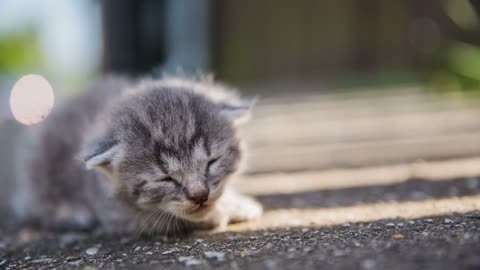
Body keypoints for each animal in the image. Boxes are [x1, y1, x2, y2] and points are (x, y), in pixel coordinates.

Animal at [11, 75, 264, 234]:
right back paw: (71, 212)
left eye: (212, 162)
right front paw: (222, 211)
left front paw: (237, 202)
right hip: (39, 164)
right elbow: (169, 220)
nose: (200, 195)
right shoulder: (117, 214)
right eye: (165, 178)